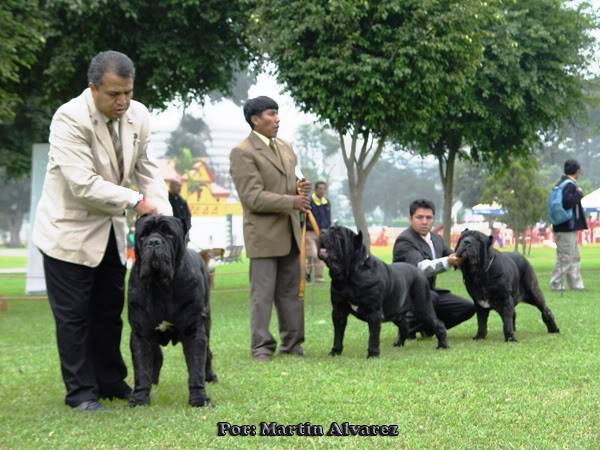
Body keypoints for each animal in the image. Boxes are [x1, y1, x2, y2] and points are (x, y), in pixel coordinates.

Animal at [126, 214, 216, 408]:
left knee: (208, 354)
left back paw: (210, 376)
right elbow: (141, 368)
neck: (160, 285)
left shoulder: (194, 331)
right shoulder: (141, 334)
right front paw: (139, 399)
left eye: (169, 234)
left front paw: (200, 399)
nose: (154, 242)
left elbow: (196, 367)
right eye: (143, 235)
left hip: (206, 324)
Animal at [316, 225, 448, 358]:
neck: (349, 275)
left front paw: (373, 354)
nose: (322, 231)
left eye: (338, 234)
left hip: (423, 308)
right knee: (404, 326)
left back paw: (442, 346)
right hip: (397, 313)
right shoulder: (338, 310)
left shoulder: (374, 312)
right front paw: (335, 351)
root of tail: (420, 272)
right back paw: (398, 344)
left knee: (439, 324)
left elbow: (373, 335)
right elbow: (338, 334)